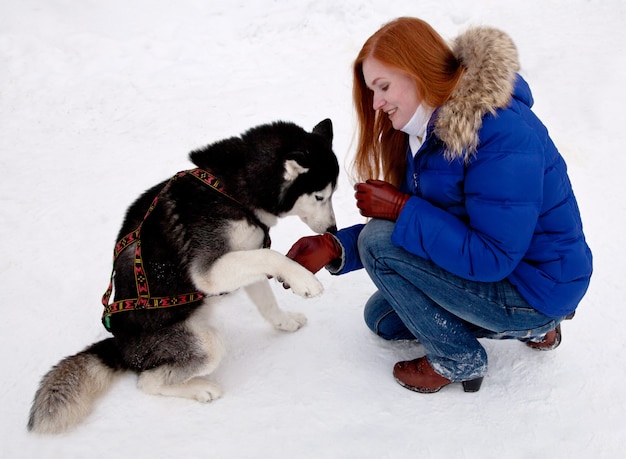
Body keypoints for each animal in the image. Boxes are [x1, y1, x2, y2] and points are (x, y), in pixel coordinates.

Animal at [27, 118, 338, 434]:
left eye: (333, 194)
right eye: (320, 196)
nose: (333, 229)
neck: (233, 189)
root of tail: (120, 346)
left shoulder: (247, 250)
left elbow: (267, 301)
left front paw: (284, 321)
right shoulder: (209, 270)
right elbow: (271, 257)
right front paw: (304, 280)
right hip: (201, 343)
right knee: (147, 381)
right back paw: (200, 388)